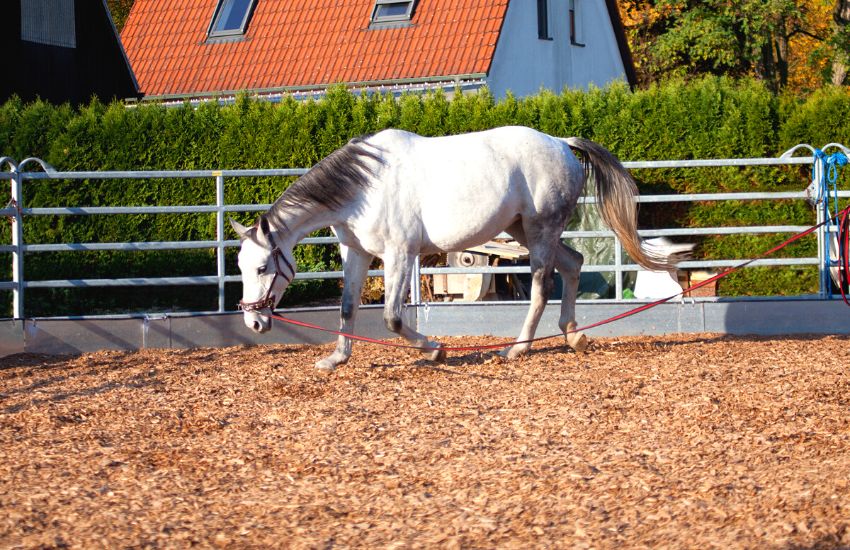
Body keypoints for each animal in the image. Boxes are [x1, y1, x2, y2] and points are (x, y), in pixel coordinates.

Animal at [229, 127, 672, 374]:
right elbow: (348, 308)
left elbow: (392, 318)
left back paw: (516, 350)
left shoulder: (399, 254)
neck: (365, 187)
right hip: (523, 230)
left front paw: (434, 350)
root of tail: (561, 144)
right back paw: (574, 337)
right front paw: (336, 359)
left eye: (263, 266)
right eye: (241, 266)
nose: (254, 322)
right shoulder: (356, 252)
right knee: (574, 264)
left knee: (542, 288)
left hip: (540, 231)